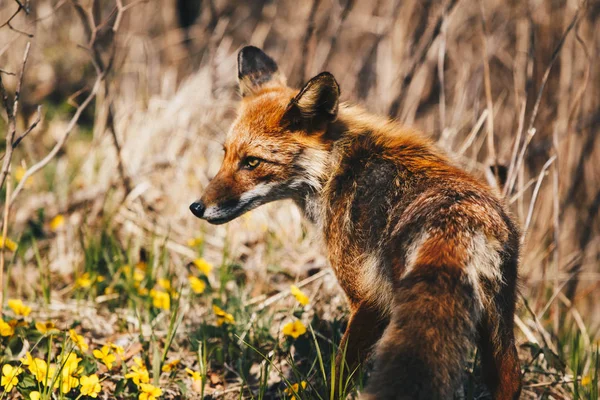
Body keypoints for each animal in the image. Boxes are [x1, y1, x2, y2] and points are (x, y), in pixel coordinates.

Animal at [190, 46, 524, 396]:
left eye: (252, 162)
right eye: (226, 154)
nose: (197, 207)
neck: (336, 168)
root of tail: (465, 217)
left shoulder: (367, 301)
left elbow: (338, 378)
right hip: (496, 321)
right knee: (512, 376)